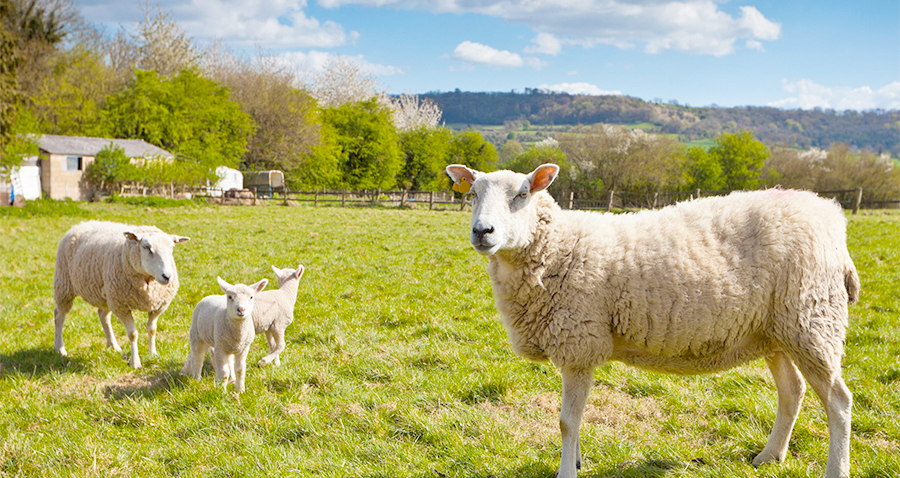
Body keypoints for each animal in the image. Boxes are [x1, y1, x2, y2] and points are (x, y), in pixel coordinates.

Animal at [52, 218, 190, 368]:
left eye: (171, 248)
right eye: (146, 247)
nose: (167, 276)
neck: (148, 280)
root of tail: (82, 223)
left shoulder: (158, 306)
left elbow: (152, 329)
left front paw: (152, 353)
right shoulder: (122, 306)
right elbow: (133, 334)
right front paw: (135, 362)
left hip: (107, 294)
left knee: (103, 315)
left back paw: (113, 346)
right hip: (64, 285)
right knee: (59, 315)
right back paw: (59, 348)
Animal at [446, 163, 860, 478]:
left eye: (521, 195)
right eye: (473, 194)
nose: (482, 232)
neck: (559, 247)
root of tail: (830, 215)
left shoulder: (579, 343)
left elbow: (567, 421)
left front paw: (566, 471)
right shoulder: (577, 347)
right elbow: (572, 420)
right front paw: (575, 461)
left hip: (812, 320)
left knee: (838, 401)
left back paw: (835, 469)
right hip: (777, 331)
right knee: (792, 390)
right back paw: (769, 456)